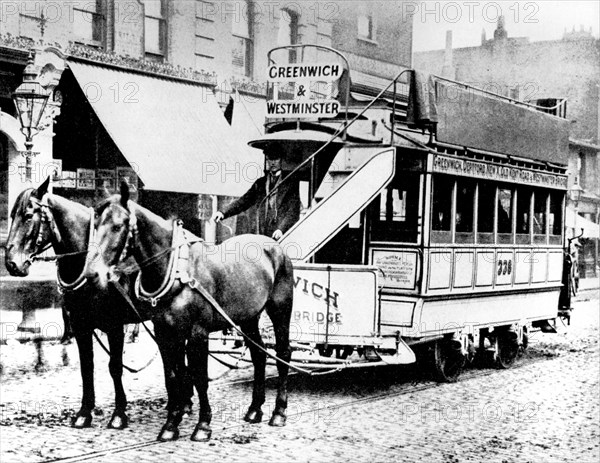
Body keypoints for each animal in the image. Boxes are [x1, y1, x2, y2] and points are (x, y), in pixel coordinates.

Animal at [4, 177, 191, 428]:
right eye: (12, 215)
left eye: (28, 215)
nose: (12, 263)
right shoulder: (80, 325)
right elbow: (87, 367)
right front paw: (85, 412)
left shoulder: (114, 325)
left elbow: (114, 367)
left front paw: (119, 413)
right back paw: (181, 402)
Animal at [85, 183, 296, 444]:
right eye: (95, 225)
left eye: (117, 226)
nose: (92, 273)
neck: (176, 270)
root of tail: (275, 246)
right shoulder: (165, 333)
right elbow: (173, 377)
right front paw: (171, 424)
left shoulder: (197, 334)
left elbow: (199, 378)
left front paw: (203, 425)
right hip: (248, 318)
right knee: (259, 354)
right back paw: (255, 409)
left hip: (280, 310)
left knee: (283, 353)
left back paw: (279, 411)